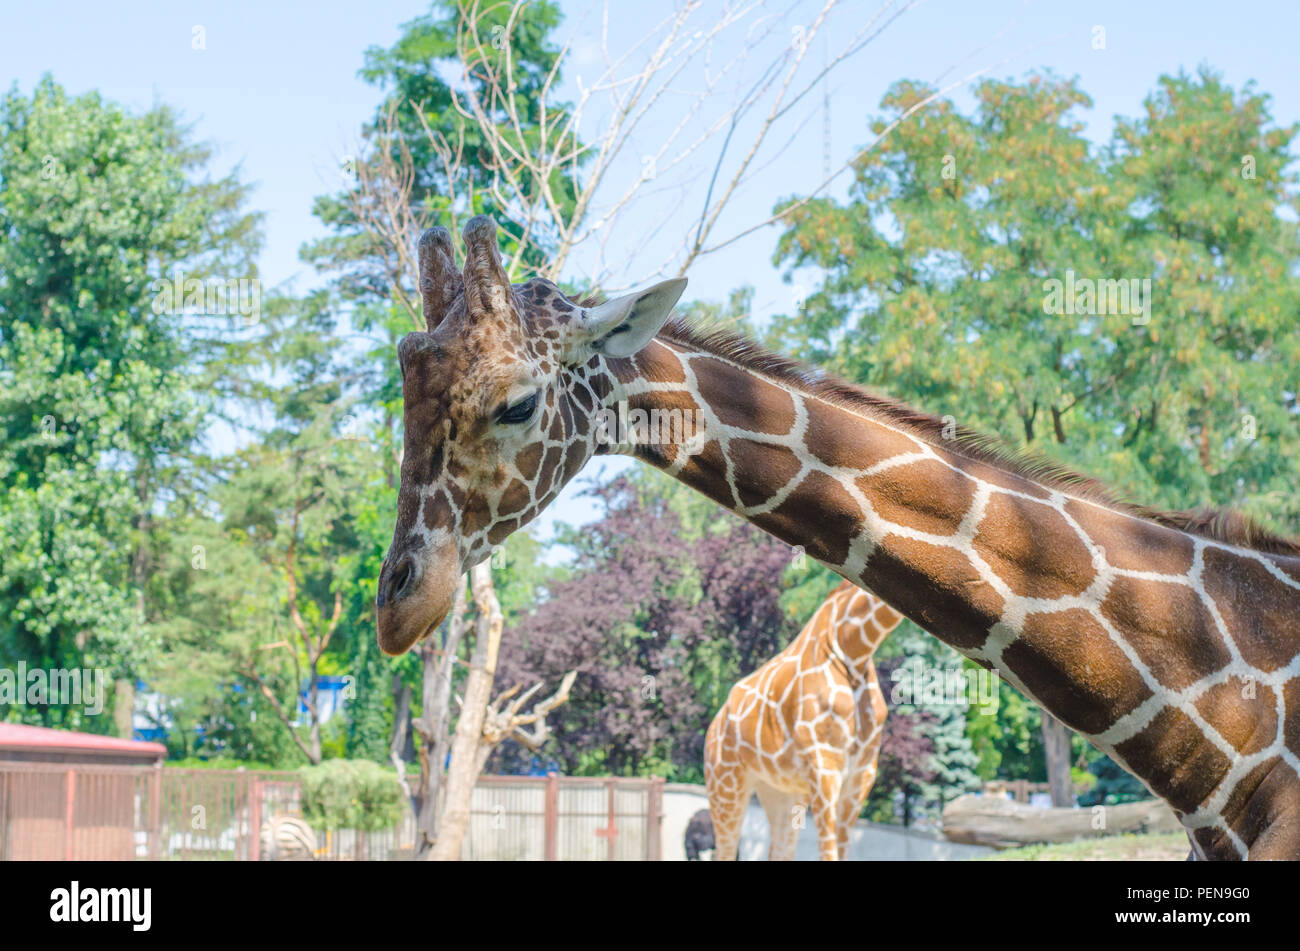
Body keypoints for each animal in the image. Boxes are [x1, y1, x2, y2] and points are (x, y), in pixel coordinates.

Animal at [706, 580, 899, 861]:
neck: (854, 652)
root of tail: (712, 727)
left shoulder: (861, 775)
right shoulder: (824, 765)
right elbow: (828, 852)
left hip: (780, 792)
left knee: (779, 850)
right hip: (724, 785)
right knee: (724, 850)